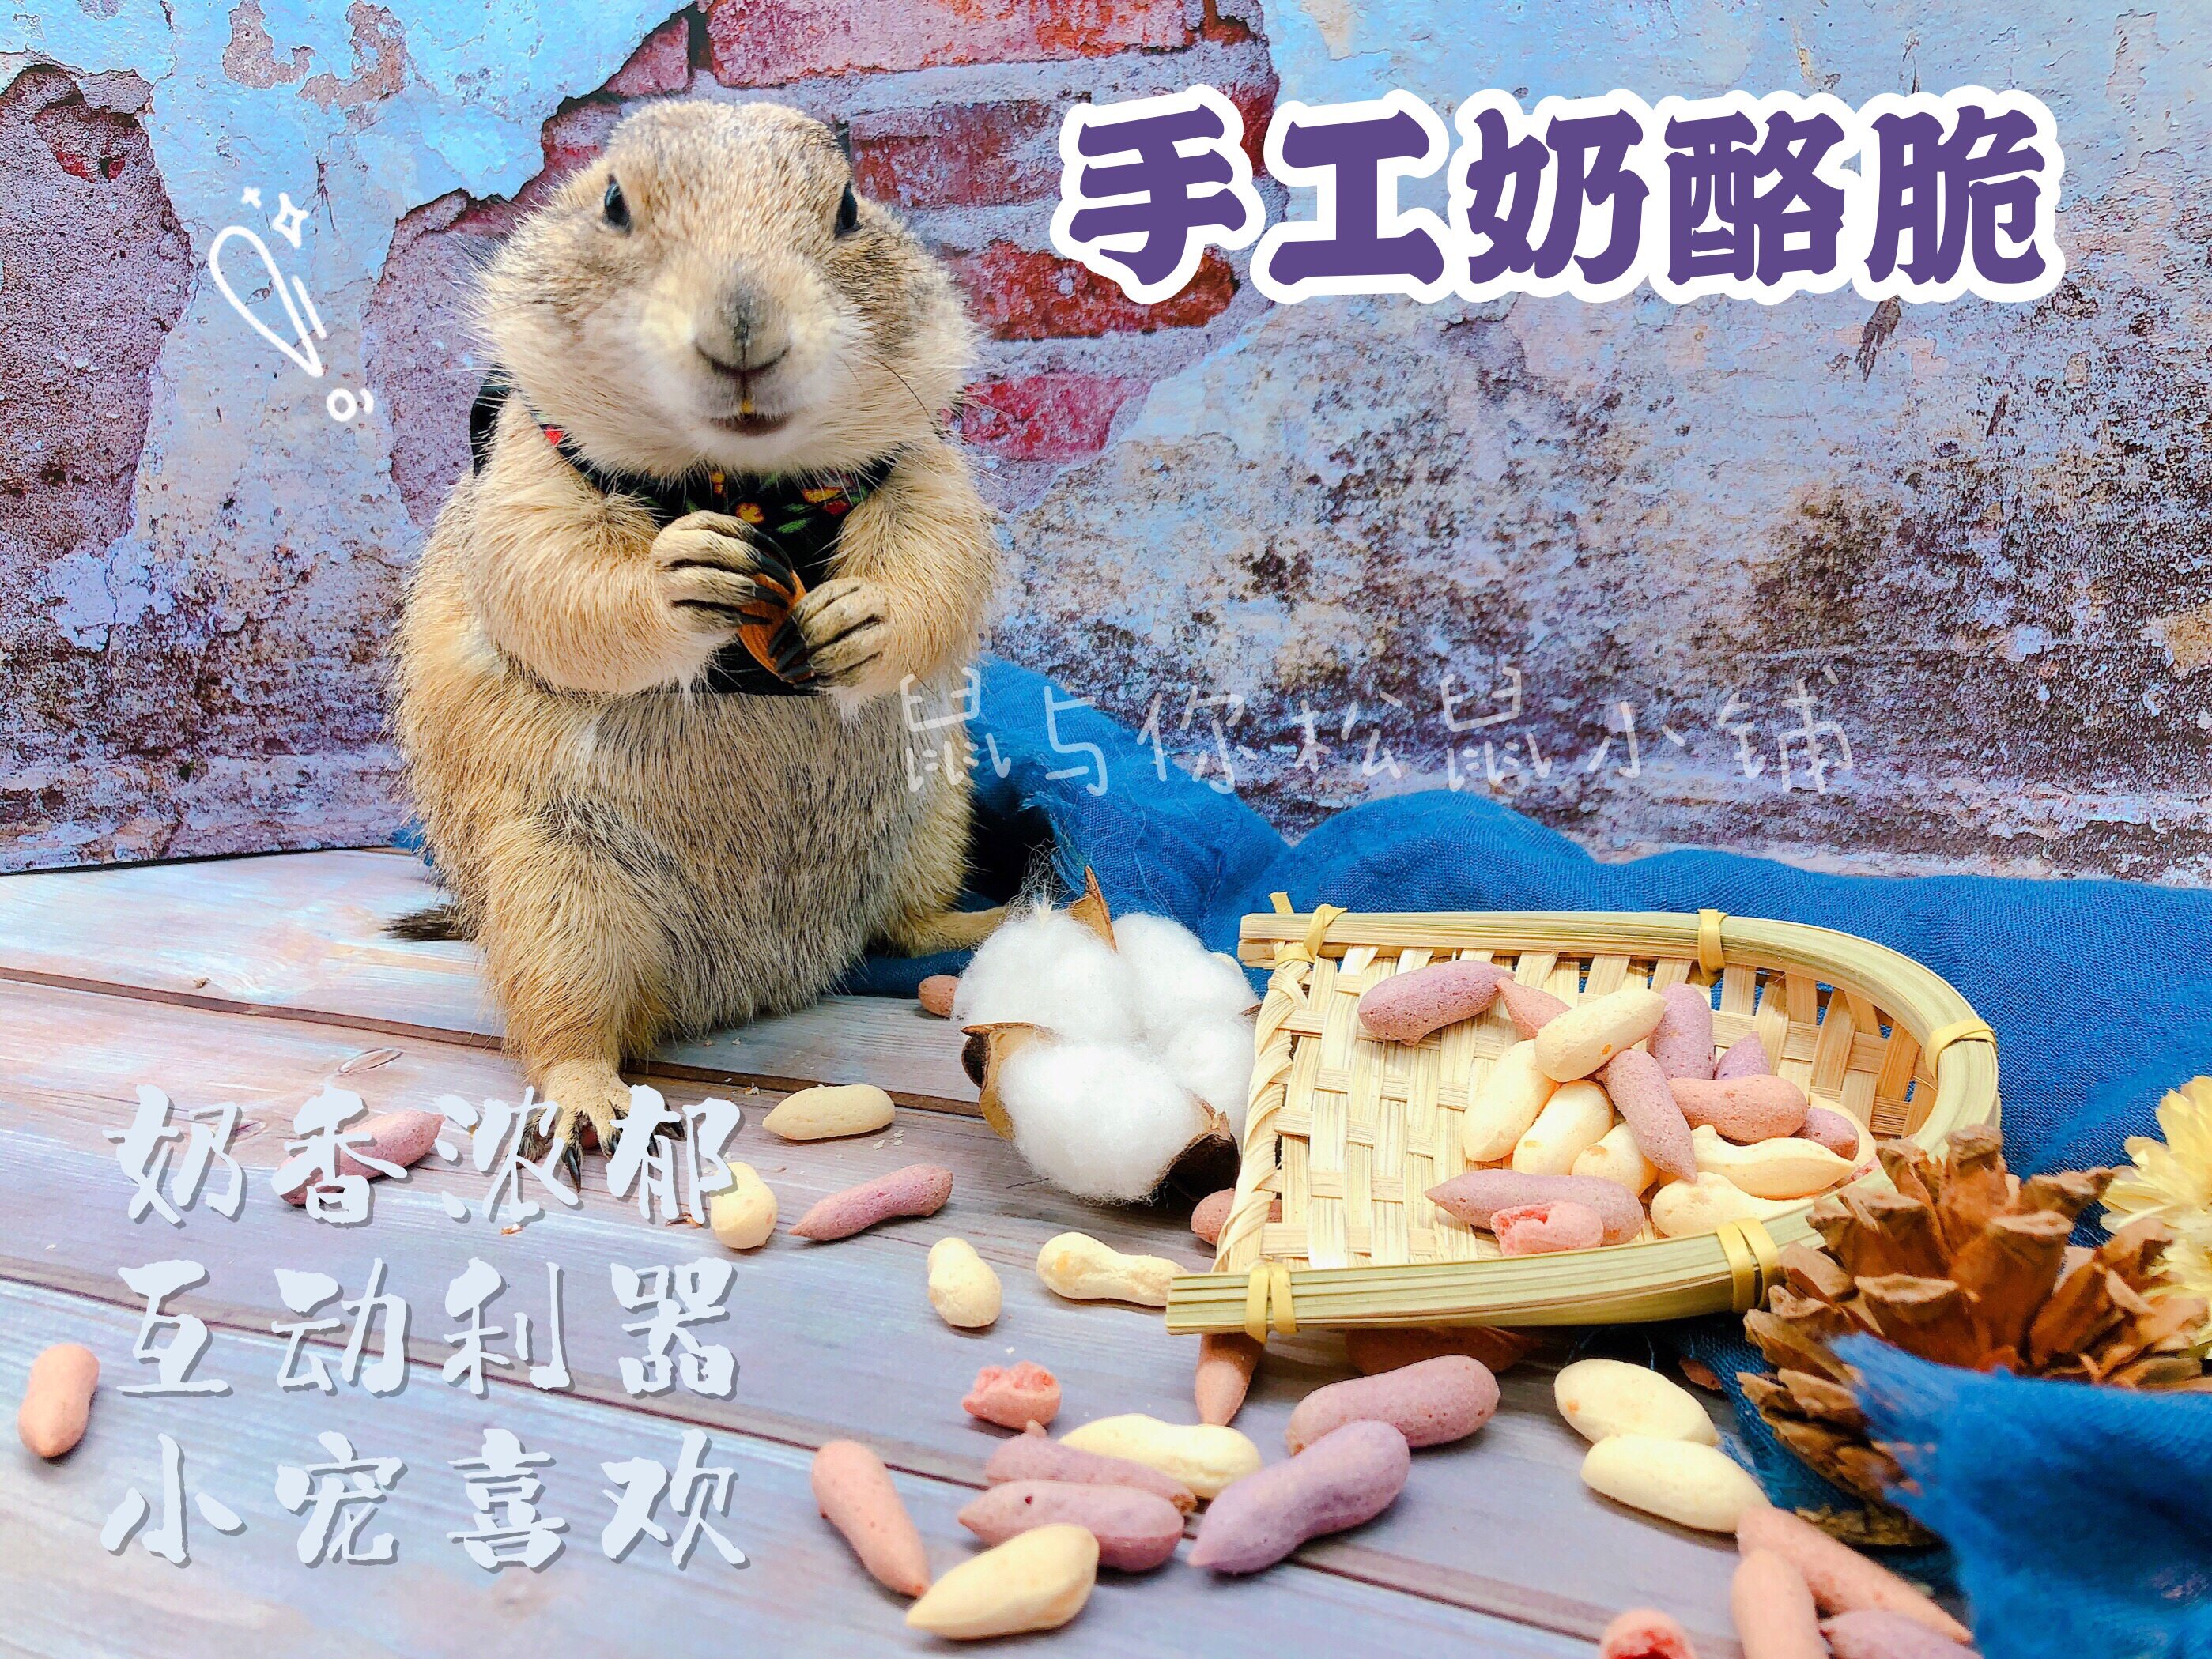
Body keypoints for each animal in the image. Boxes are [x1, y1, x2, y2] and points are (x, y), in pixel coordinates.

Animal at [392, 99, 1002, 1173]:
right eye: (611, 202)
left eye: (850, 207)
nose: (743, 325)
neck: (747, 484)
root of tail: (761, 979)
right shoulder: (525, 462)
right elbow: (549, 570)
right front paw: (679, 578)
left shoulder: (923, 454)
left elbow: (942, 550)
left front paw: (859, 614)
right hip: (554, 897)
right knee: (565, 1021)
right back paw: (584, 1099)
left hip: (936, 819)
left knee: (900, 928)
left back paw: (988, 914)